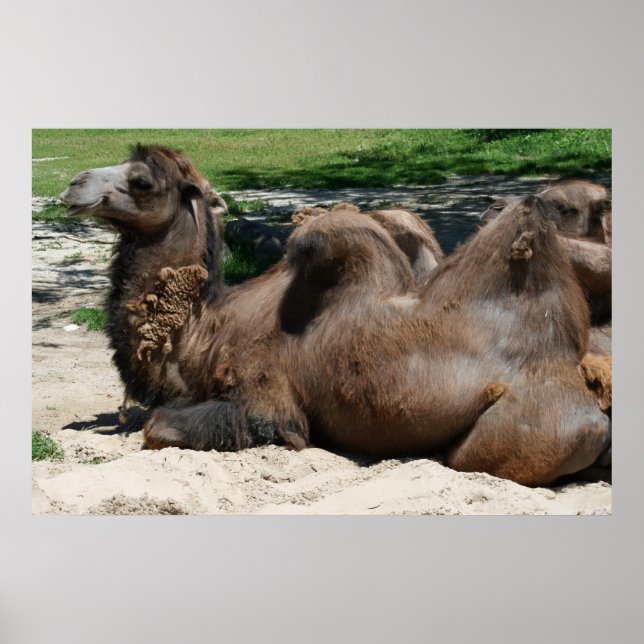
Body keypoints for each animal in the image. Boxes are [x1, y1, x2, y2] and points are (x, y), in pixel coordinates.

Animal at [60, 146, 610, 486]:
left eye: (141, 180)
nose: (73, 184)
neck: (205, 332)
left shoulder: (267, 398)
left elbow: (161, 427)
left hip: (526, 432)